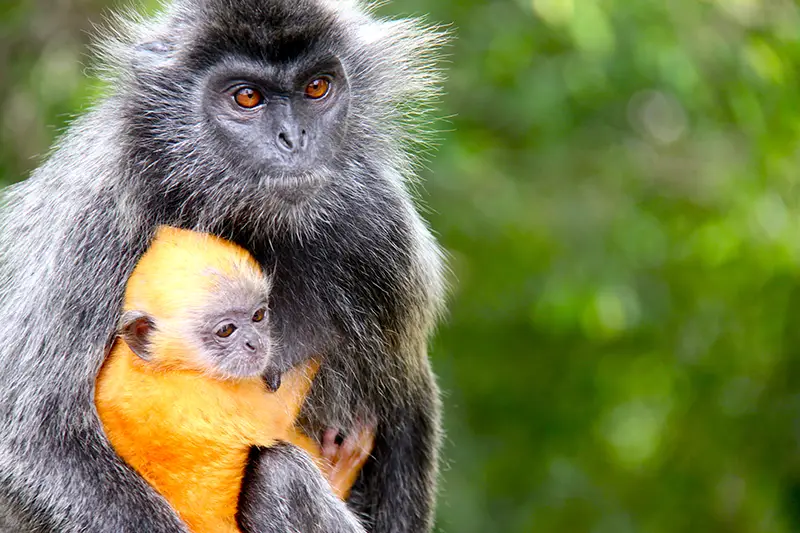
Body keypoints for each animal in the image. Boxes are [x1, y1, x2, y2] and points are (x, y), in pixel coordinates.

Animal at [96, 225, 372, 533]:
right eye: (226, 330)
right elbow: (275, 413)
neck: (158, 367)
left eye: (258, 316)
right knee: (276, 468)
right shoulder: (203, 395)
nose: (255, 343)